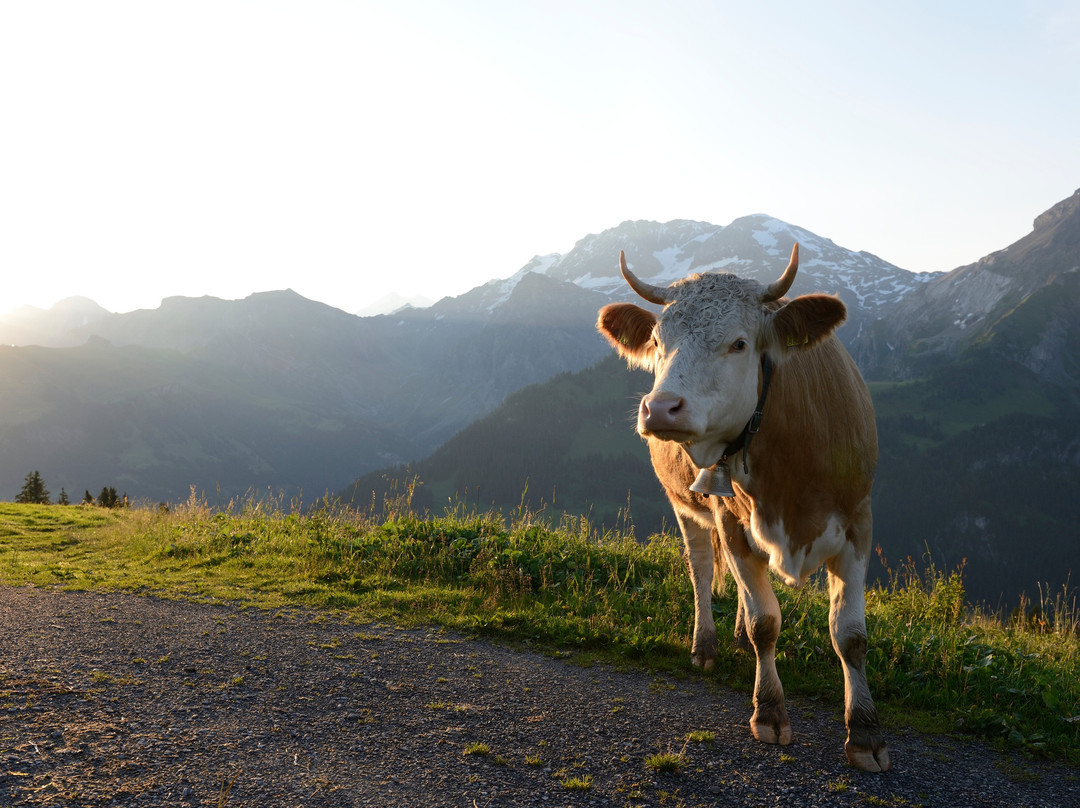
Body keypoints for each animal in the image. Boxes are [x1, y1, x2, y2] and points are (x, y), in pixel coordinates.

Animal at [596, 244, 889, 769]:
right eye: (656, 340)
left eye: (738, 343)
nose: (660, 407)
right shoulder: (731, 520)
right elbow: (764, 622)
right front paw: (769, 711)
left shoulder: (859, 522)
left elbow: (850, 634)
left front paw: (865, 732)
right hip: (687, 507)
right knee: (702, 569)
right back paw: (706, 644)